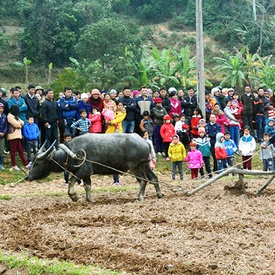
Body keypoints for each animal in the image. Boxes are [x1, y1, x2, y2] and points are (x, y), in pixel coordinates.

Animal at [26, 134, 164, 203]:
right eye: (33, 161)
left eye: (37, 163)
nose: (28, 177)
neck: (71, 153)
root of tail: (145, 142)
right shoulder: (87, 175)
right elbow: (87, 186)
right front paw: (89, 200)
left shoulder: (84, 171)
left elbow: (71, 180)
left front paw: (74, 196)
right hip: (145, 165)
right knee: (154, 178)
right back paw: (159, 194)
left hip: (135, 167)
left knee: (143, 181)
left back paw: (140, 198)